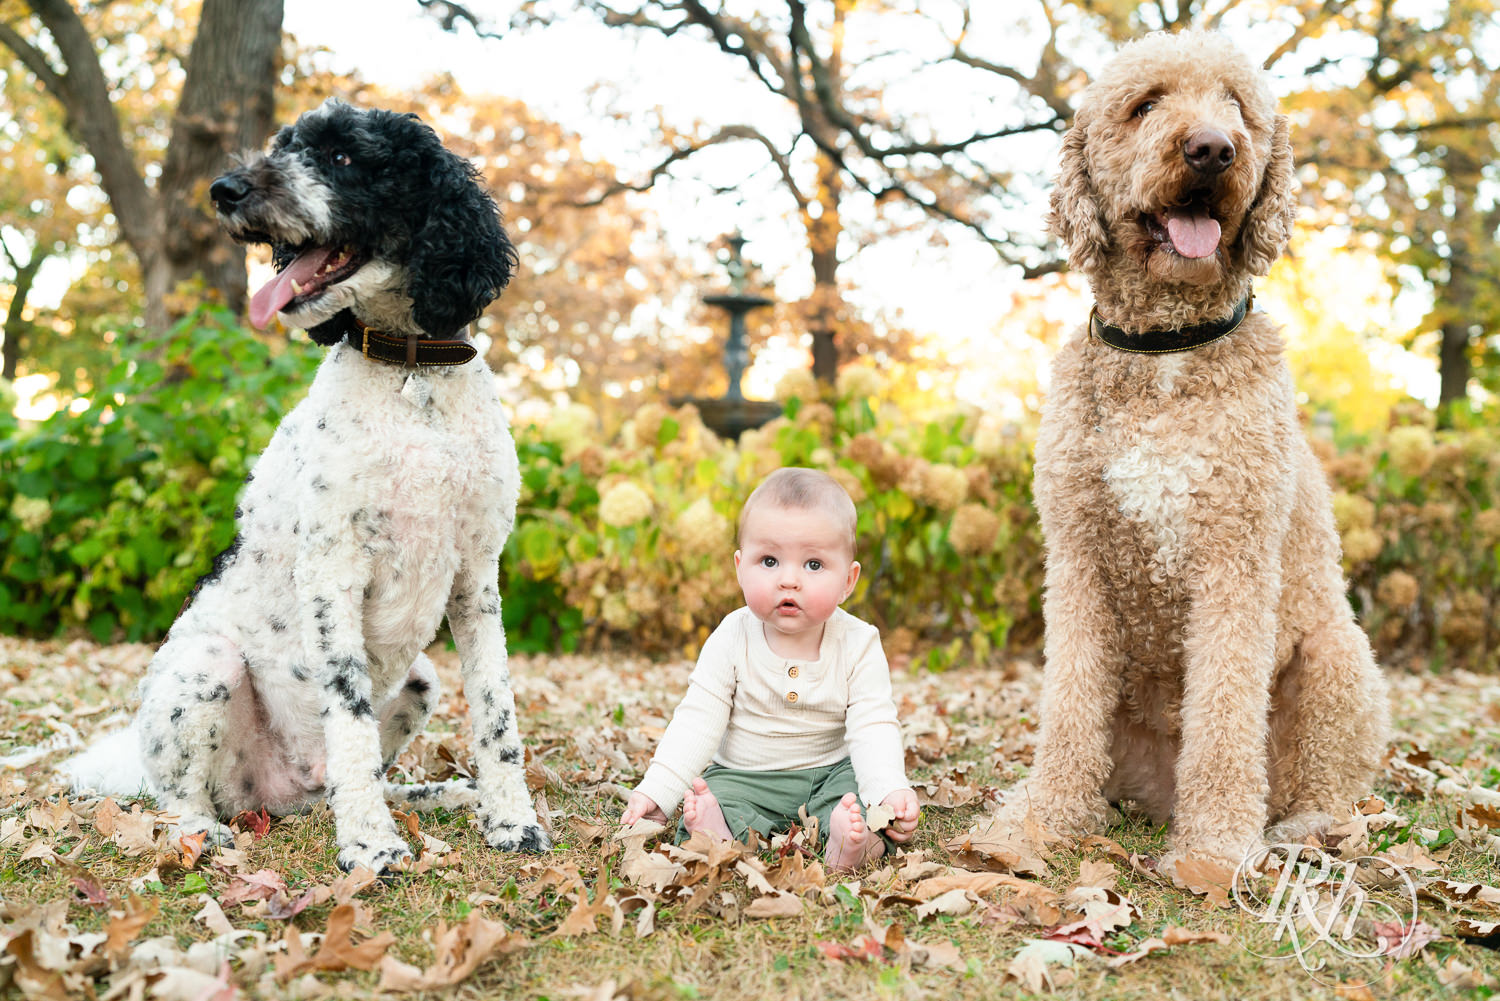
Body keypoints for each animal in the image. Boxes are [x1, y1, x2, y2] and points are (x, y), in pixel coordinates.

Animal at [66, 97, 552, 870]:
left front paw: (511, 821)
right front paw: (371, 846)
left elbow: (497, 710)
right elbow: (347, 712)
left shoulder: (477, 574)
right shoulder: (333, 571)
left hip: (421, 676)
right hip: (205, 667)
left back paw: (430, 794)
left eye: (344, 156)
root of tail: (279, 793)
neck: (411, 371)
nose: (225, 189)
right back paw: (204, 831)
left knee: (349, 775)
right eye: (283, 145)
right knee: (182, 793)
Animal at [990, 29, 1386, 876]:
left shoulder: (1234, 560)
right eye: (1145, 106)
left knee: (1325, 778)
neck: (1167, 350)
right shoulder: (1078, 558)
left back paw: (1304, 826)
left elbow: (1226, 713)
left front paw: (1214, 847)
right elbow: (1068, 703)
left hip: (1338, 658)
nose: (1212, 149)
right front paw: (1042, 819)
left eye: (1238, 106)